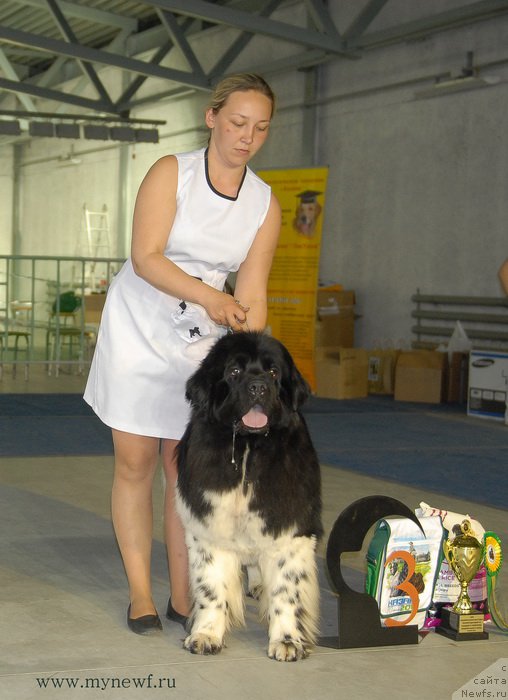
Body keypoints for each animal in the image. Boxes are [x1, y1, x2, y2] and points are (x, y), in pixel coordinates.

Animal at [177, 330, 324, 660]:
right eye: (234, 371)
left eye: (273, 372)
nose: (258, 387)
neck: (247, 449)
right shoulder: (209, 527)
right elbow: (211, 587)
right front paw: (206, 634)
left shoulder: (290, 526)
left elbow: (286, 589)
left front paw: (287, 640)